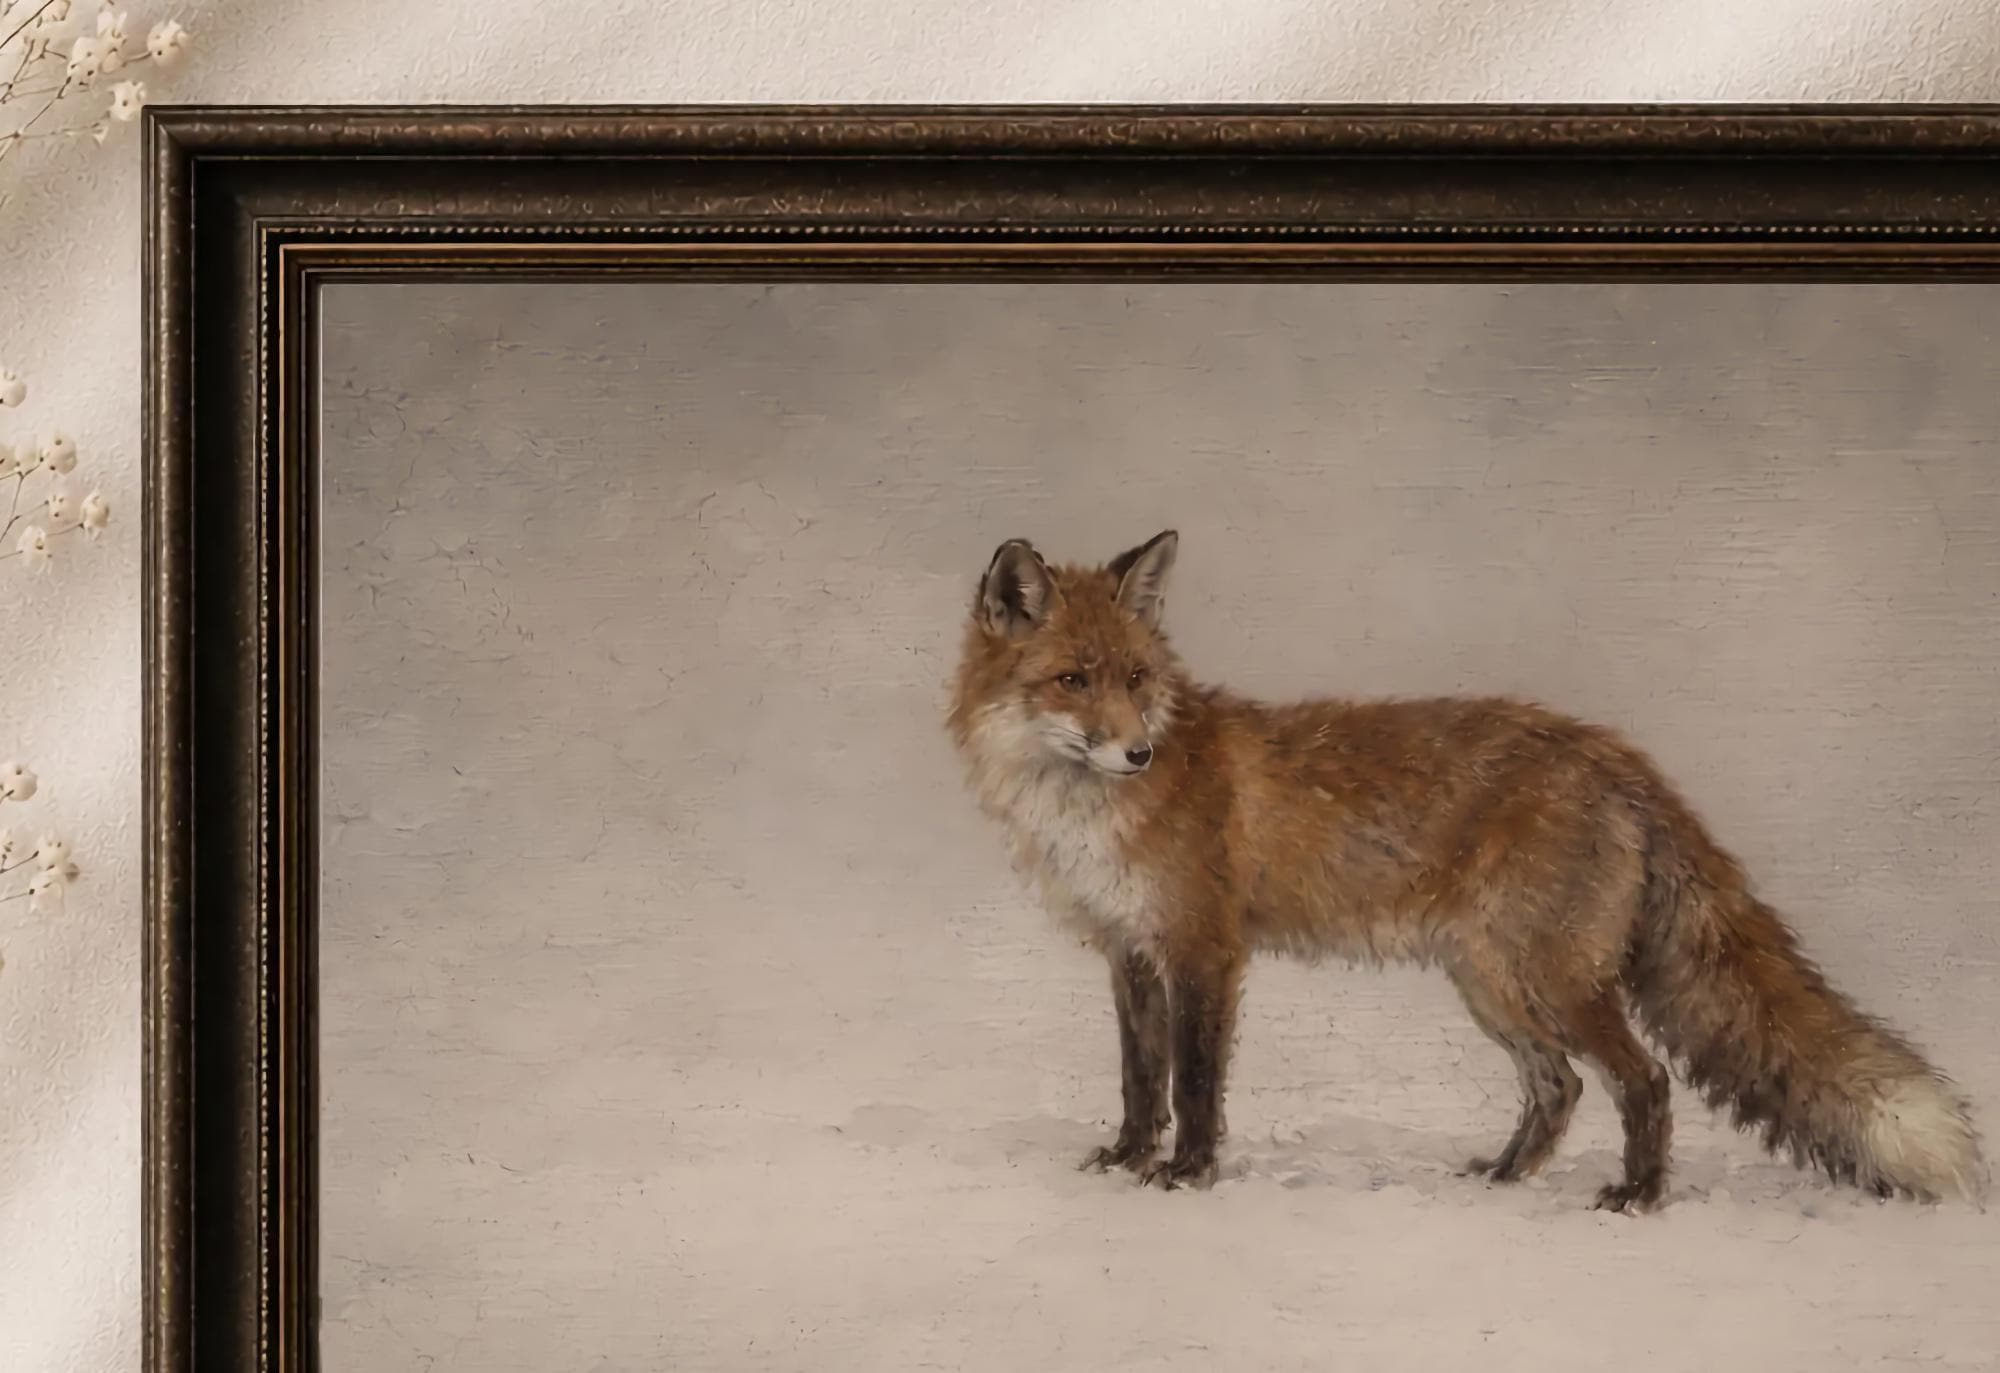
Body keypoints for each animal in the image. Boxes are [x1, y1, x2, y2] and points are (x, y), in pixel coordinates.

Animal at [945, 529, 1986, 1211]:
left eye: (1136, 680)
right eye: (1074, 680)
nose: (1138, 754)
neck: (1086, 811)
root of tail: (1615, 753)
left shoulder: (1204, 950)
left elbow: (1195, 1084)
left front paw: (1188, 1173)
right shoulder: (1131, 953)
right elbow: (1140, 1077)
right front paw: (1128, 1158)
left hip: (1550, 980)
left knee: (1644, 1079)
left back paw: (1638, 1195)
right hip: (1494, 983)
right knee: (1560, 1087)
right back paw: (1503, 1179)